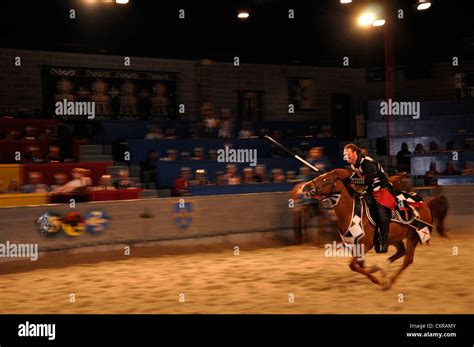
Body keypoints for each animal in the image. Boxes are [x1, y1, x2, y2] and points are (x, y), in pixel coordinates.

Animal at [302, 170, 446, 290]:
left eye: (325, 179)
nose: (305, 187)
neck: (353, 213)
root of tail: (426, 204)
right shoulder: (354, 247)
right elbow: (359, 266)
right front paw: (377, 275)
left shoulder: (365, 245)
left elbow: (353, 265)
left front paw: (376, 273)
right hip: (394, 238)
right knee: (401, 252)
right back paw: (384, 270)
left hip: (414, 235)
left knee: (407, 259)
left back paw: (389, 281)